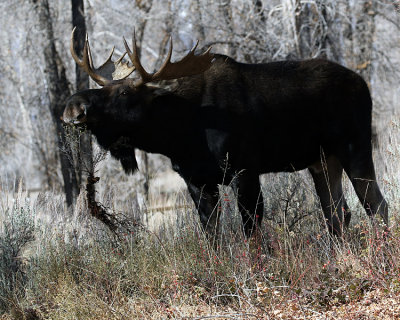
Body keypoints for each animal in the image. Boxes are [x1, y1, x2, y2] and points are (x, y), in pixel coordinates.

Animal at [62, 28, 388, 239]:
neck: (182, 133)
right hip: (321, 160)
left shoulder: (244, 170)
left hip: (354, 147)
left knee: (375, 205)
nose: (73, 106)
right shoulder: (197, 180)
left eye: (125, 92)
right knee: (338, 212)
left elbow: (251, 232)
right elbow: (212, 235)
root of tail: (364, 84)